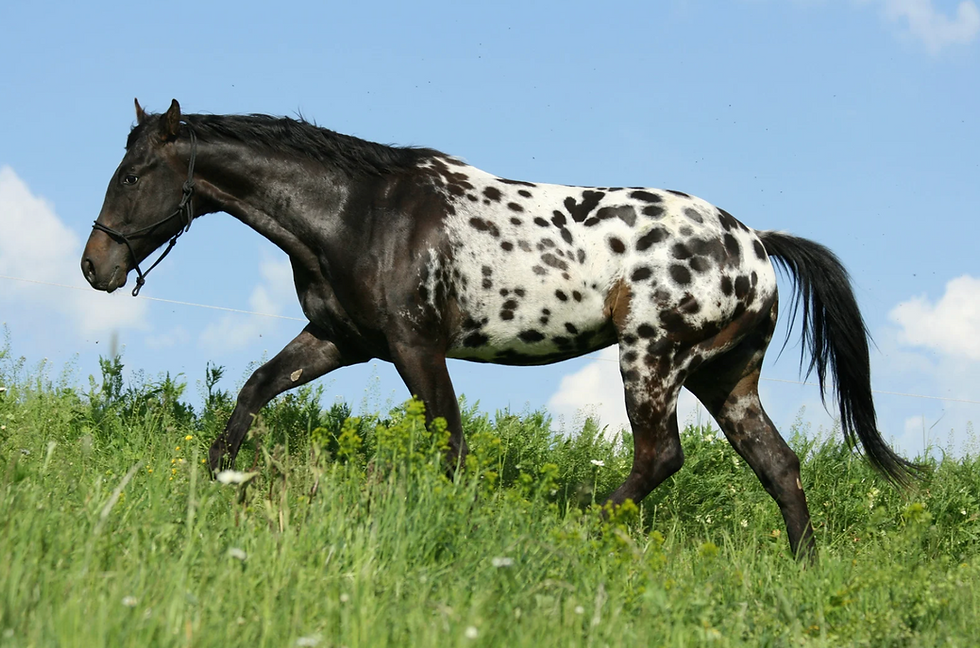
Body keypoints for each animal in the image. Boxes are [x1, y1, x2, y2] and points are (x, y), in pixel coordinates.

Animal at [82, 99, 920, 558]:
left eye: (132, 175)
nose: (95, 266)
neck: (359, 212)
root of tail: (756, 245)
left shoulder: (415, 347)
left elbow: (447, 439)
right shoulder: (342, 340)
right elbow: (256, 389)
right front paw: (215, 476)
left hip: (654, 359)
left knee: (661, 457)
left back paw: (580, 527)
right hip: (725, 377)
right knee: (779, 467)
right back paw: (804, 569)